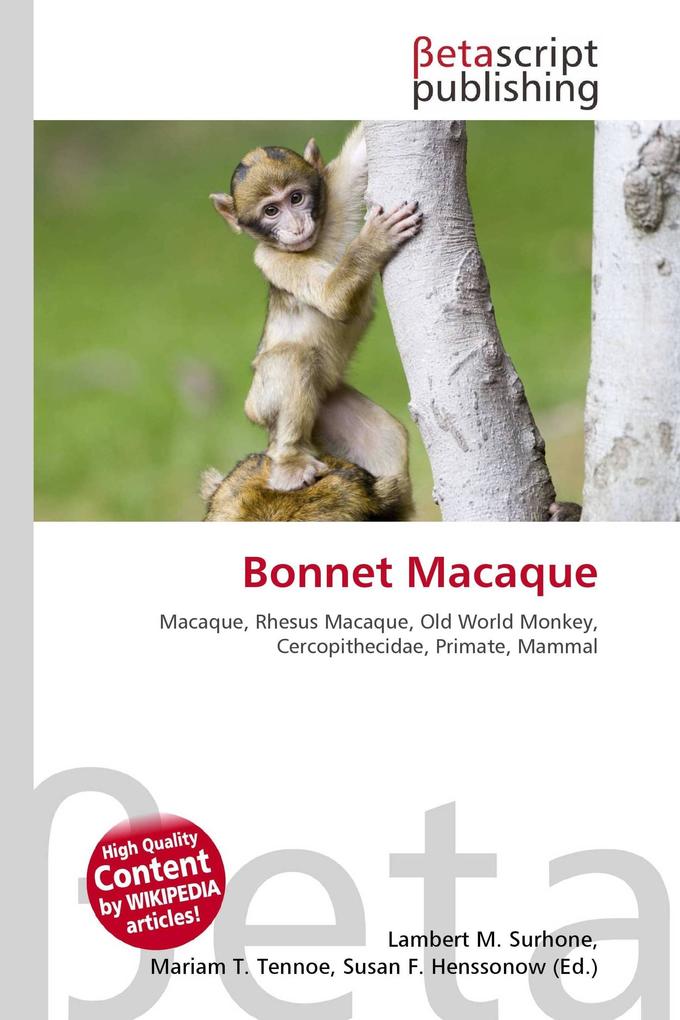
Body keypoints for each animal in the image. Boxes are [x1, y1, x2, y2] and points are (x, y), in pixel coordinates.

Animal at [209, 125, 421, 505]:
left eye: (296, 198)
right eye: (271, 211)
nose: (295, 225)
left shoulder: (334, 190)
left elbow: (360, 153)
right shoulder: (271, 258)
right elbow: (334, 301)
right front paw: (374, 241)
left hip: (329, 407)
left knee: (387, 439)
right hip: (260, 401)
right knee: (292, 358)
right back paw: (289, 461)